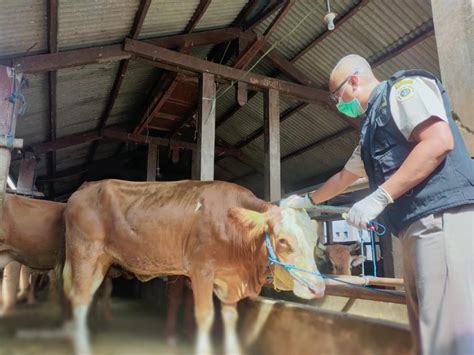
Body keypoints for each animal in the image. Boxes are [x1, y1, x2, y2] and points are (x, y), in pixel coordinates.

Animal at [63, 181, 324, 355]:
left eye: (315, 239)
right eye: (283, 240)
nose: (318, 289)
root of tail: (86, 187)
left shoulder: (229, 277)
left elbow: (230, 317)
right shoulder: (201, 270)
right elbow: (205, 315)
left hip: (101, 260)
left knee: (86, 295)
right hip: (84, 251)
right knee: (79, 298)